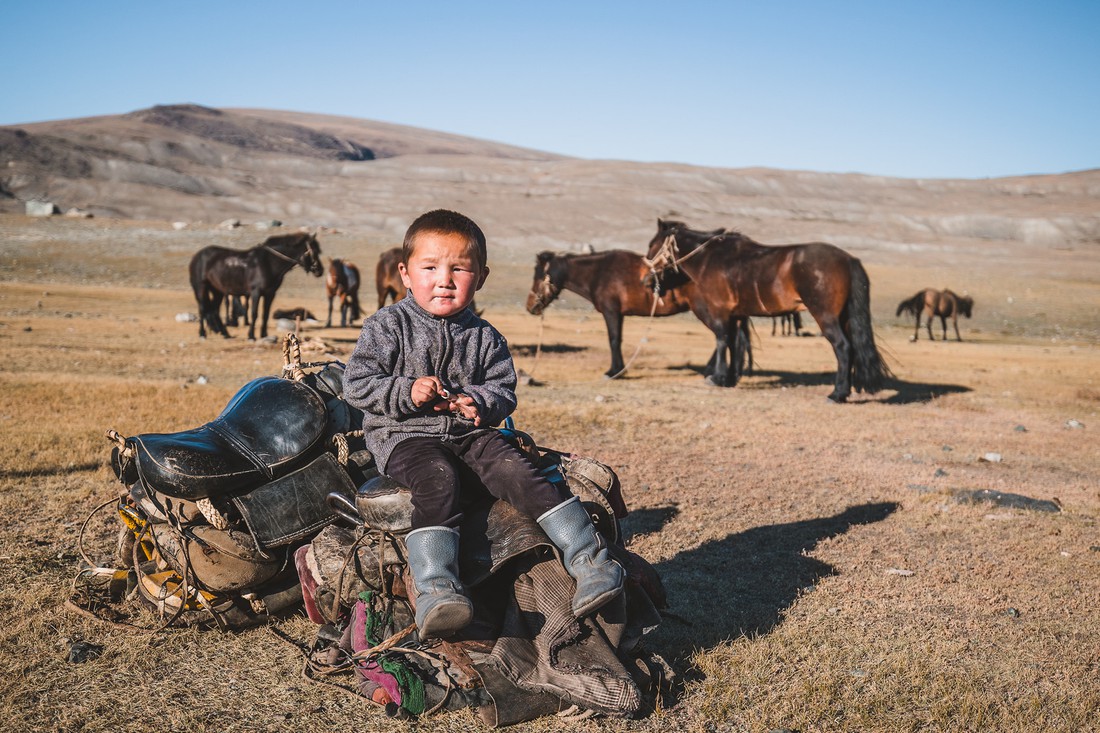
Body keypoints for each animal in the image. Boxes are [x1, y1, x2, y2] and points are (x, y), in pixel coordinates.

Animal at [185, 231, 321, 338]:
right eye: (314, 251)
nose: (320, 270)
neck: (268, 263)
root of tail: (196, 257)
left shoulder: (270, 294)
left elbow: (265, 314)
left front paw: (264, 335)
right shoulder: (256, 292)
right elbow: (254, 314)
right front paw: (251, 336)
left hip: (217, 290)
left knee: (214, 311)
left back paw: (225, 334)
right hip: (201, 288)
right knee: (203, 309)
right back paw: (202, 333)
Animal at [525, 249, 752, 378]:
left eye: (538, 275)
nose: (531, 307)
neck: (599, 273)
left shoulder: (611, 311)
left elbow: (614, 340)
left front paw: (614, 371)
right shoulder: (619, 314)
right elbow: (617, 339)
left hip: (705, 311)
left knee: (723, 336)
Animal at [642, 217, 893, 400]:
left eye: (651, 245)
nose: (645, 281)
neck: (710, 259)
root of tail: (849, 260)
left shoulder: (720, 313)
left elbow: (722, 341)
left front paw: (718, 377)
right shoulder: (736, 315)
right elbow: (734, 344)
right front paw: (730, 379)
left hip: (826, 317)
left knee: (842, 347)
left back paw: (838, 393)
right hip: (845, 318)